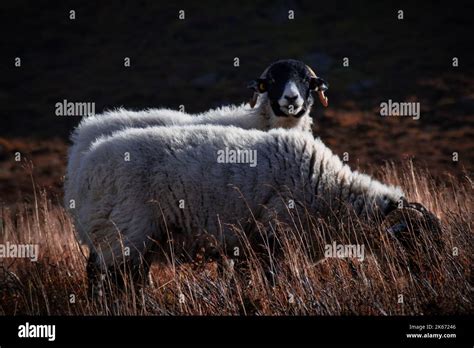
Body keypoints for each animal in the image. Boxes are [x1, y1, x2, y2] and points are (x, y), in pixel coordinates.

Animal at [71, 125, 440, 290]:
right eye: (414, 240)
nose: (433, 278)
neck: (328, 190)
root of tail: (84, 167)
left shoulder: (249, 241)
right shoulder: (276, 231)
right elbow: (276, 277)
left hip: (124, 237)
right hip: (125, 232)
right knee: (112, 280)